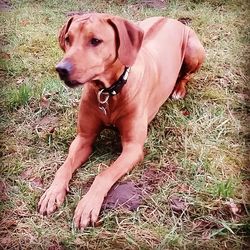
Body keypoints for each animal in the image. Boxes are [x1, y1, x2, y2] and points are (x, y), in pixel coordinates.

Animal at [37, 12, 205, 229]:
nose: (61, 69)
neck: (108, 93)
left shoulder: (133, 149)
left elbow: (104, 175)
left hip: (194, 51)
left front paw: (88, 204)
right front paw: (52, 192)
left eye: (95, 41)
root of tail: (172, 19)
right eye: (68, 39)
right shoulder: (83, 138)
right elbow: (64, 166)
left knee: (186, 76)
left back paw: (178, 90)